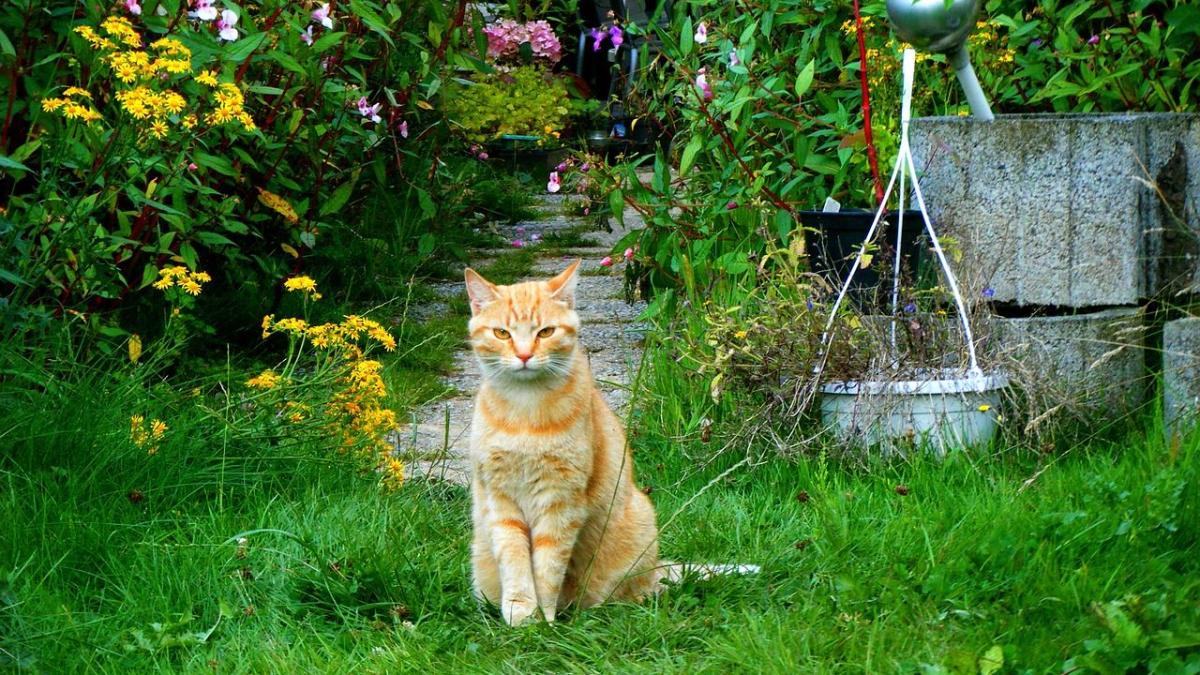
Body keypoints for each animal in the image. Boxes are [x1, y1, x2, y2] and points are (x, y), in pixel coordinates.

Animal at [463, 260, 662, 624]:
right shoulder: (501, 501)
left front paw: (543, 619)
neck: (525, 410)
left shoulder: (561, 502)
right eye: (502, 334)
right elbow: (515, 562)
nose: (524, 355)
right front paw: (520, 614)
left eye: (545, 332)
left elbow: (547, 567)